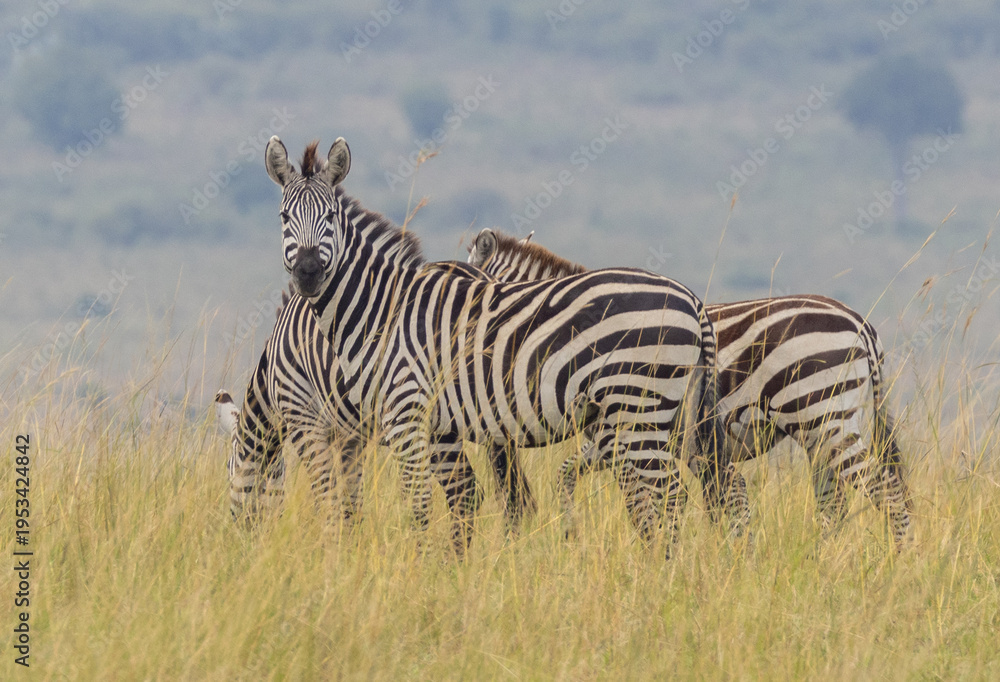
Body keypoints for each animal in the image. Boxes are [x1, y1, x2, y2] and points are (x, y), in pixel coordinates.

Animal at [257, 135, 749, 549]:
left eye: (329, 218)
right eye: (283, 218)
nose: (307, 273)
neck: (380, 308)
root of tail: (692, 299)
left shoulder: (407, 414)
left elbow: (419, 504)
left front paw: (415, 573)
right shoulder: (431, 427)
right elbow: (460, 499)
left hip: (639, 406)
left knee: (666, 497)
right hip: (673, 414)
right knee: (694, 491)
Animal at [467, 227, 912, 550]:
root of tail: (860, 323)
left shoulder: (622, 436)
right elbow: (571, 474)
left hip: (822, 415)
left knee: (883, 491)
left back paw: (897, 563)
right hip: (823, 427)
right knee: (836, 500)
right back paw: (822, 563)